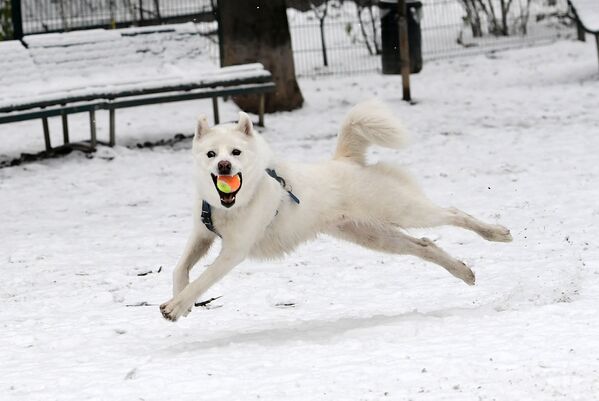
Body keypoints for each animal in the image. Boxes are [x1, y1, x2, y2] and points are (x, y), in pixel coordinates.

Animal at [159, 100, 510, 322]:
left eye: (235, 152)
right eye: (211, 154)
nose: (224, 166)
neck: (229, 206)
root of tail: (347, 161)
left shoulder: (234, 251)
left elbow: (203, 279)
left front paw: (175, 307)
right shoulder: (202, 235)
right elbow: (180, 269)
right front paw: (183, 303)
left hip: (403, 211)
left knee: (454, 213)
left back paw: (496, 233)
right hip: (375, 236)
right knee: (425, 245)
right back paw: (464, 272)